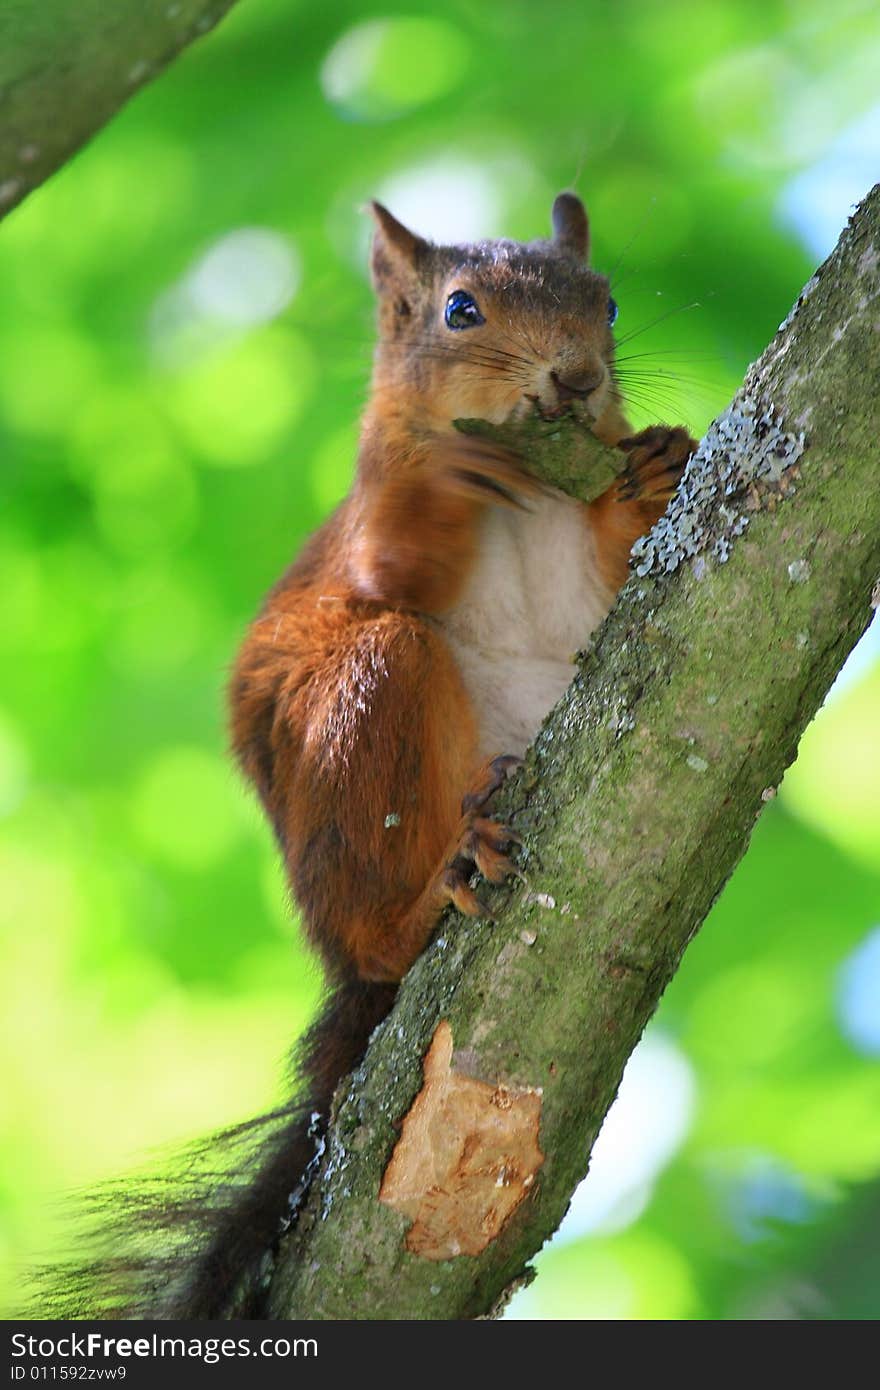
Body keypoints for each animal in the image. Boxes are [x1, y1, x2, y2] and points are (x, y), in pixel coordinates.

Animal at [46, 193, 692, 1312]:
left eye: (606, 303)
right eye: (459, 309)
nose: (575, 378)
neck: (528, 480)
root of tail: (341, 956)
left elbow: (621, 569)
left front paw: (653, 470)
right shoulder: (370, 511)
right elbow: (394, 561)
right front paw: (448, 472)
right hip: (366, 713)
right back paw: (436, 885)